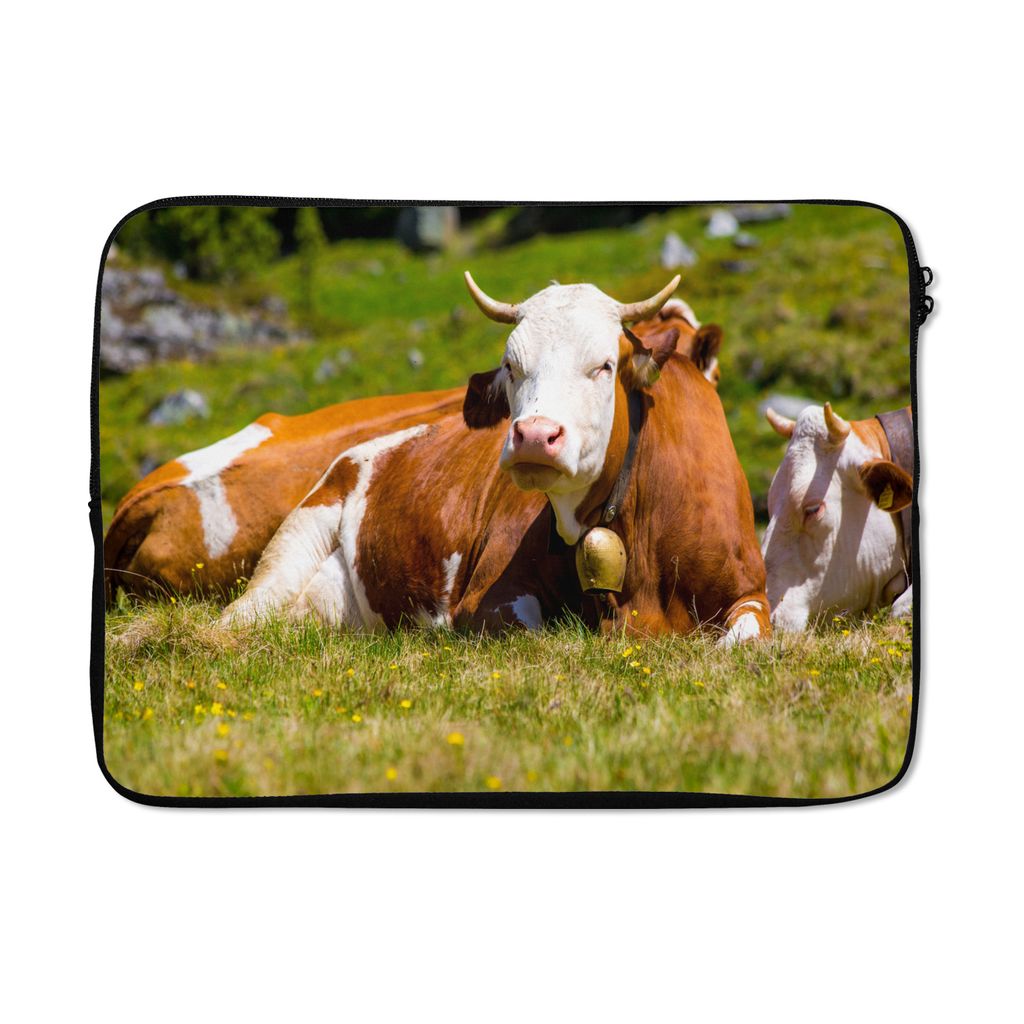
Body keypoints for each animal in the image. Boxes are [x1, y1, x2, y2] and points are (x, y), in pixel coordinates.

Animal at [220, 273, 769, 642]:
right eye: (512, 365)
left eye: (604, 365)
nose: (534, 436)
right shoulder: (488, 597)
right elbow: (535, 634)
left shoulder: (752, 595)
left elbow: (741, 643)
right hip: (294, 541)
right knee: (244, 613)